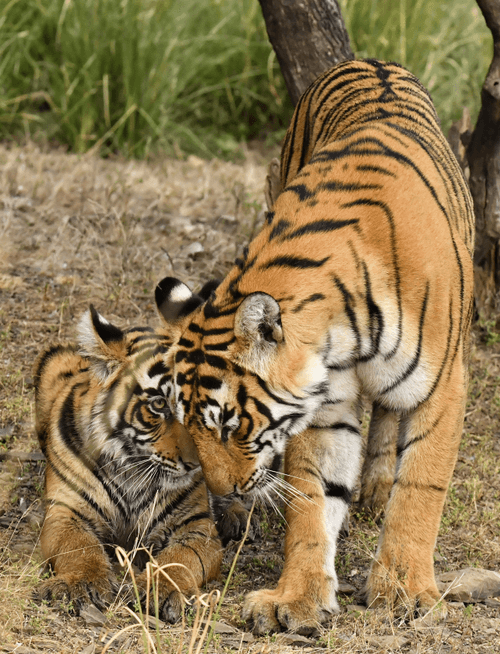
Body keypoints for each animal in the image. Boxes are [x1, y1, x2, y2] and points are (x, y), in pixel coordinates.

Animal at [34, 281, 230, 622]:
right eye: (159, 404)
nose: (197, 465)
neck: (134, 466)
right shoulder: (65, 511)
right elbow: (79, 547)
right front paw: (82, 583)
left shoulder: (196, 525)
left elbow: (180, 558)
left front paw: (161, 590)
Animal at [153, 58, 475, 633]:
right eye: (190, 426)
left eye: (230, 426)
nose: (222, 492)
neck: (343, 327)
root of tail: (369, 60)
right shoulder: (326, 404)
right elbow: (314, 496)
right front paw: (296, 598)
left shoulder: (442, 387)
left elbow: (421, 490)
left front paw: (405, 591)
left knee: (390, 418)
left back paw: (377, 492)